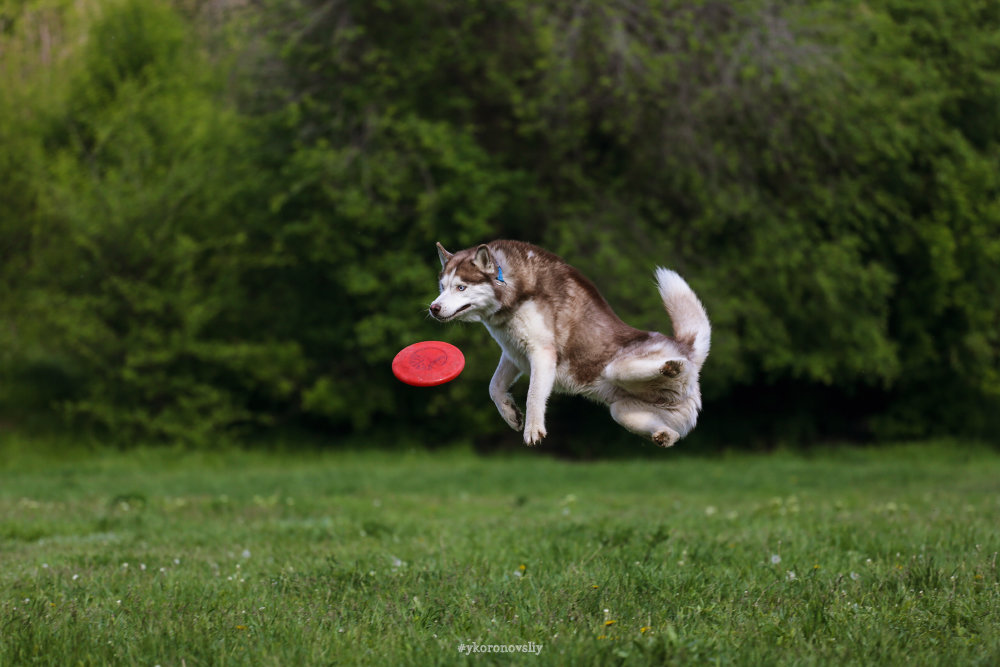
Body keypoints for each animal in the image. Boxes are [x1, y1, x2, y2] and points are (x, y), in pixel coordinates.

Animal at [430, 241, 712, 448]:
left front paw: (533, 428)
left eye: (461, 287)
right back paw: (664, 435)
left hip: (618, 368)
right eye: (442, 287)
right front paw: (511, 414)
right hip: (623, 412)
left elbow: (534, 395)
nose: (434, 308)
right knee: (671, 433)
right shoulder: (513, 354)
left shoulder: (541, 352)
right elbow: (494, 387)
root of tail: (685, 347)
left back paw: (672, 367)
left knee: (648, 368)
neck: (509, 287)